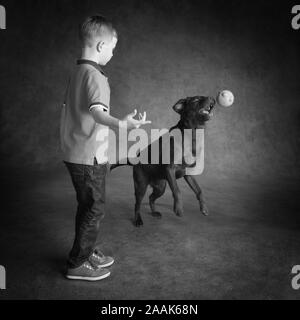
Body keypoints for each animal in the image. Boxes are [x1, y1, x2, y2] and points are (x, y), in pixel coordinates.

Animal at [111, 96, 214, 226]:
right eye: (195, 100)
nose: (212, 98)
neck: (192, 134)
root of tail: (136, 159)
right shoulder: (170, 169)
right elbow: (177, 191)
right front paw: (178, 209)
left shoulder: (189, 173)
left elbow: (199, 190)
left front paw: (204, 208)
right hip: (141, 186)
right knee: (137, 204)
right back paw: (138, 220)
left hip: (161, 187)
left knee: (151, 198)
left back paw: (154, 213)